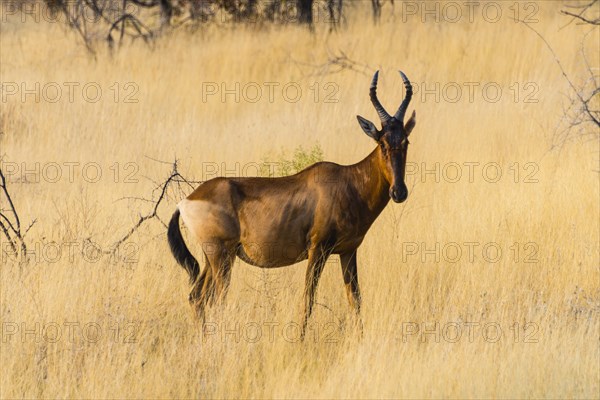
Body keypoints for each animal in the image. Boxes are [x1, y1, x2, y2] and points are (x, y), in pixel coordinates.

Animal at [166, 69, 414, 334]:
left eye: (405, 141)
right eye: (382, 142)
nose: (399, 192)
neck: (348, 181)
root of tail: (186, 201)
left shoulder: (348, 251)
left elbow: (355, 299)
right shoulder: (318, 250)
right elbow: (308, 298)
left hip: (211, 257)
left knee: (196, 297)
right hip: (221, 256)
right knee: (213, 300)